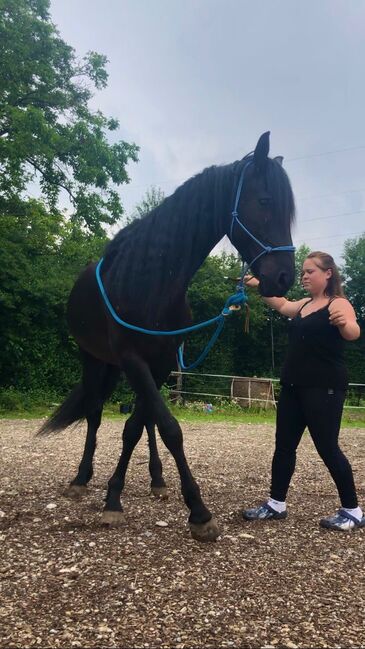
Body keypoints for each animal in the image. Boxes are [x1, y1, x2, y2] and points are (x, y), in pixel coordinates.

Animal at [39, 132, 296, 540]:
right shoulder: (132, 359)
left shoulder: (159, 364)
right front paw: (196, 512)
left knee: (143, 421)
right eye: (264, 201)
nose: (285, 278)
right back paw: (81, 479)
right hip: (93, 359)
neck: (153, 281)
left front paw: (119, 494)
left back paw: (157, 480)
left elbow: (138, 427)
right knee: (94, 413)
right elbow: (169, 428)